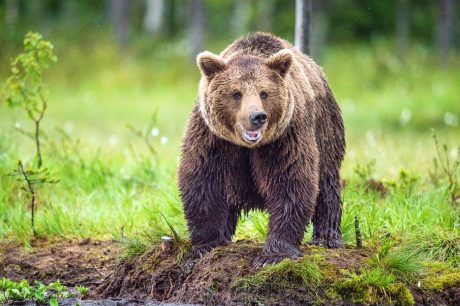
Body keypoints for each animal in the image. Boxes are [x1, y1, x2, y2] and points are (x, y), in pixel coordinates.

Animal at [178, 31, 344, 266]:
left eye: (264, 93)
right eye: (236, 93)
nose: (257, 117)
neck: (246, 145)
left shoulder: (285, 137)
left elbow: (290, 182)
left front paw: (274, 254)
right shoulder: (212, 137)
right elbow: (203, 179)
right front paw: (206, 244)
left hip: (325, 129)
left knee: (327, 182)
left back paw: (326, 238)